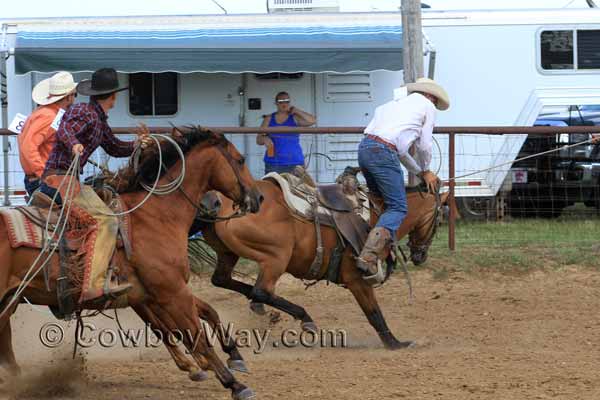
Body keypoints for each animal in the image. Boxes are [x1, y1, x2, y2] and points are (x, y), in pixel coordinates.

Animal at [0, 128, 262, 400]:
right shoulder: (172, 292)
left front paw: (231, 357)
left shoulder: (158, 293)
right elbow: (196, 336)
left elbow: (202, 316)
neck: (156, 216)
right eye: (240, 160)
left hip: (9, 300)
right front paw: (233, 383)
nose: (258, 197)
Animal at [203, 173, 450, 348]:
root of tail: (222, 202)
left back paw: (264, 309)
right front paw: (395, 344)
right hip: (276, 258)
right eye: (439, 219)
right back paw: (304, 318)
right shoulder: (357, 280)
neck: (378, 217)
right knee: (261, 290)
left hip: (229, 253)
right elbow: (374, 313)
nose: (420, 255)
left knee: (222, 280)